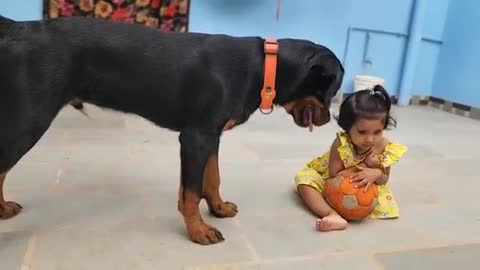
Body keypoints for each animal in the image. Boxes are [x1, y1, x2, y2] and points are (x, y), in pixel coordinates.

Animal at [0, 15, 344, 246]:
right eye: (333, 89)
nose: (334, 117)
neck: (264, 68)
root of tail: (19, 27)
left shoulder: (211, 136)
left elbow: (212, 178)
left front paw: (218, 208)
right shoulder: (195, 137)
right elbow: (190, 193)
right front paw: (199, 231)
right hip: (30, 118)